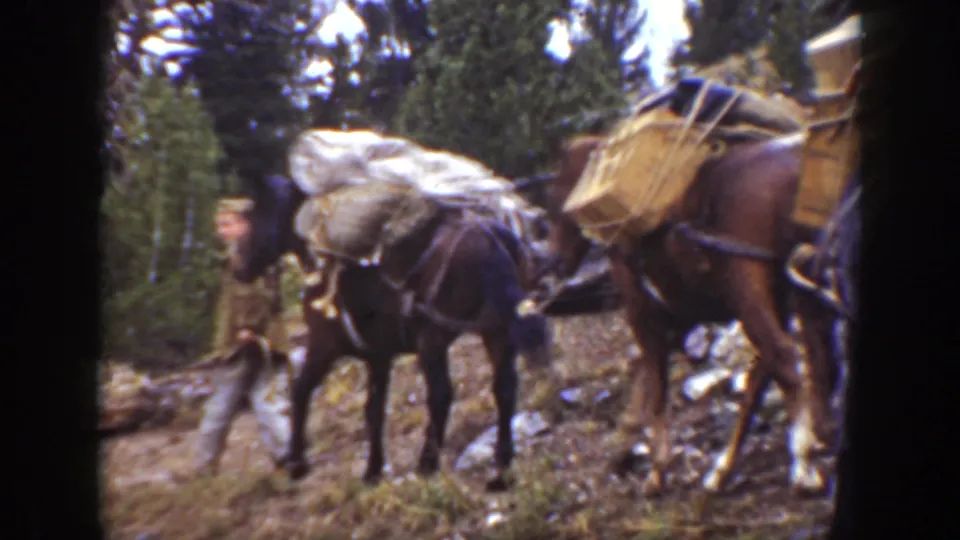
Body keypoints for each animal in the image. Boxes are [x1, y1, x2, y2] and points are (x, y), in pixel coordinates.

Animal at [231, 174, 555, 491]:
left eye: (257, 214)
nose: (240, 269)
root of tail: (489, 237)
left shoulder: (324, 346)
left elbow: (301, 391)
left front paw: (297, 463)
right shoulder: (378, 357)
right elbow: (374, 410)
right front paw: (373, 470)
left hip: (434, 341)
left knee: (442, 395)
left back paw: (427, 464)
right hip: (496, 332)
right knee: (504, 389)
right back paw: (502, 469)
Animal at [540, 134, 840, 497]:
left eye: (555, 201)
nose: (552, 263)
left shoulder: (643, 314)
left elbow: (656, 385)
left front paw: (657, 470)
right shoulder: (683, 317)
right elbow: (648, 379)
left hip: (751, 291)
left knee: (784, 355)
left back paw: (802, 464)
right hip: (802, 288)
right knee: (813, 357)